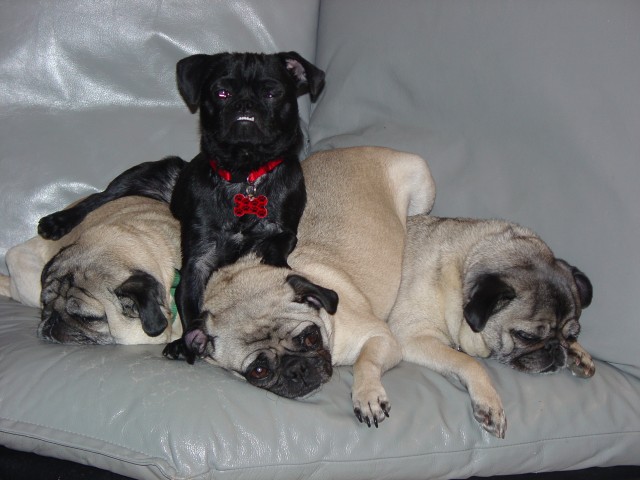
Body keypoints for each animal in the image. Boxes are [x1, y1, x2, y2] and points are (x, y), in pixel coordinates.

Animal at [36, 51, 326, 362]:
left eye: (272, 93)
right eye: (221, 92)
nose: (245, 103)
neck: (245, 172)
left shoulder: (285, 231)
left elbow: (277, 243)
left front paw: (273, 264)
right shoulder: (198, 261)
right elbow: (191, 306)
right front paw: (186, 342)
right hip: (143, 175)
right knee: (97, 197)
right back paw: (57, 221)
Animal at [180, 146, 436, 427]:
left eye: (311, 337)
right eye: (258, 370)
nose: (296, 368)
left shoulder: (381, 337)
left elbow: (365, 361)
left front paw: (367, 396)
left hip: (422, 187)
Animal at [387, 215, 595, 438]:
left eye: (572, 336)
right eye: (526, 336)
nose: (556, 347)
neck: (461, 275)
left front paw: (580, 353)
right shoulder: (413, 337)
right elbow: (468, 362)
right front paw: (489, 403)